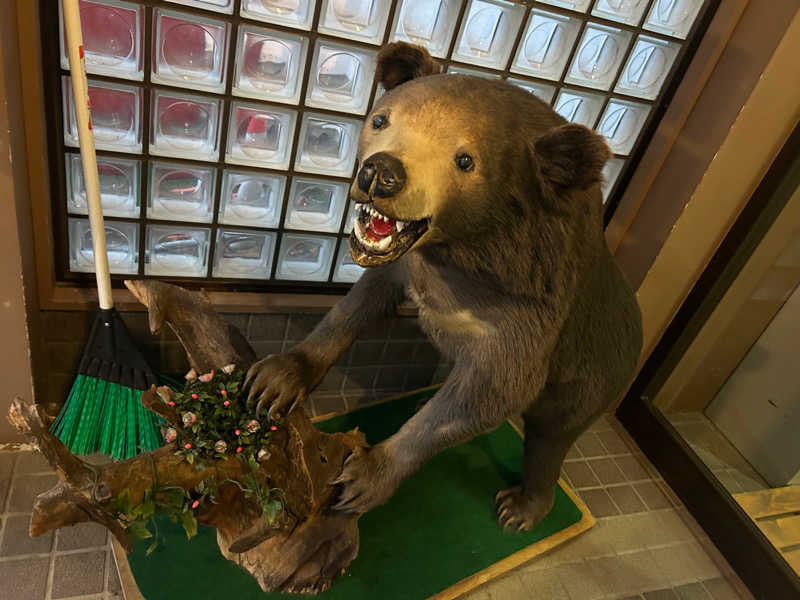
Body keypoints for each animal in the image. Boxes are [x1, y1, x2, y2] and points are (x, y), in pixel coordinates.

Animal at [245, 42, 644, 528]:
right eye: (382, 120)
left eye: (465, 160)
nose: (381, 173)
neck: (463, 251)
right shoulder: (410, 265)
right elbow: (359, 302)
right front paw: (275, 379)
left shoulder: (530, 309)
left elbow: (496, 389)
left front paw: (366, 475)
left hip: (593, 379)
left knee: (551, 438)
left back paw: (522, 507)